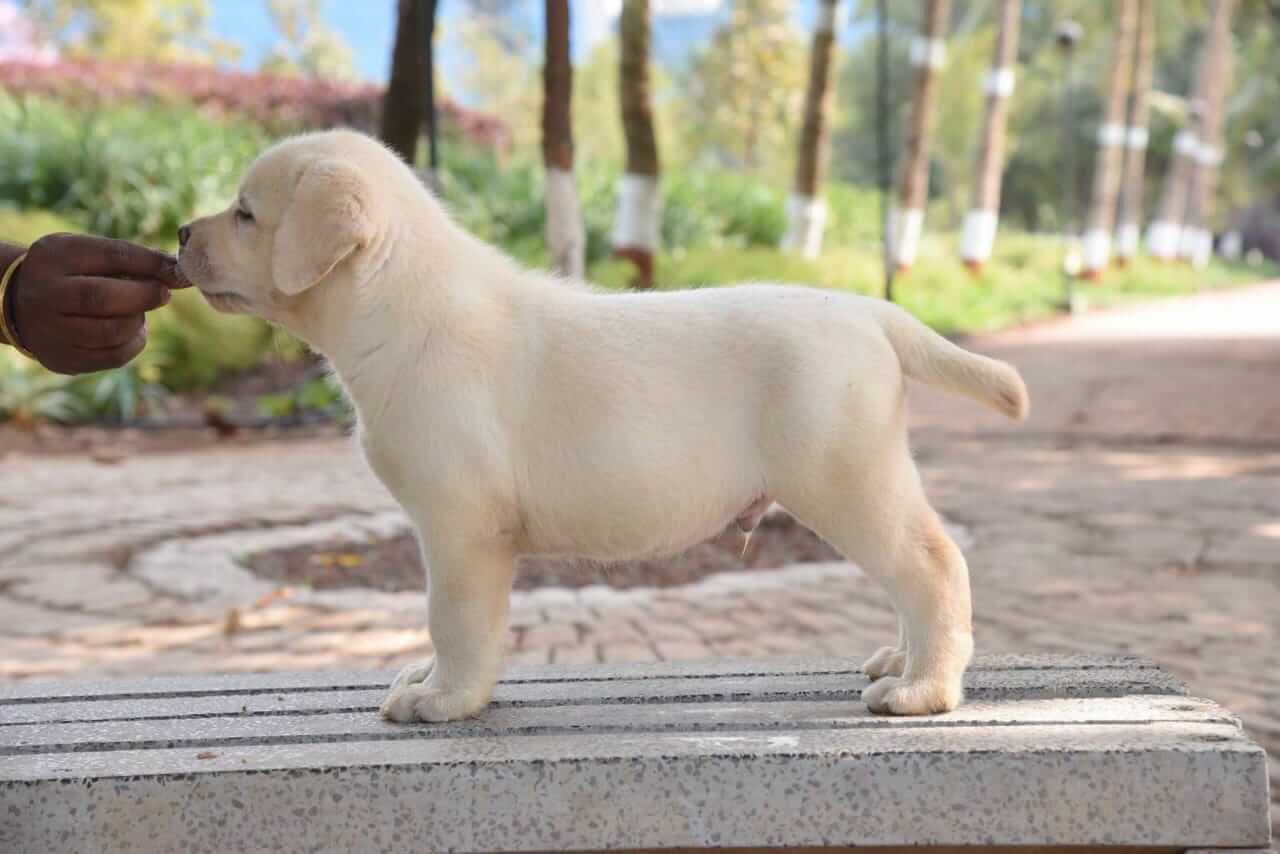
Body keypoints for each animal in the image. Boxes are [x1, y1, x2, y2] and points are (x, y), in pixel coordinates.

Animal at [177, 130, 1029, 727]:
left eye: (246, 214)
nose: (181, 232)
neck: (402, 302)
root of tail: (870, 311)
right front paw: (430, 682)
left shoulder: (461, 528)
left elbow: (454, 622)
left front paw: (445, 699)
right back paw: (901, 662)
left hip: (843, 476)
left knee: (931, 563)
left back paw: (924, 688)